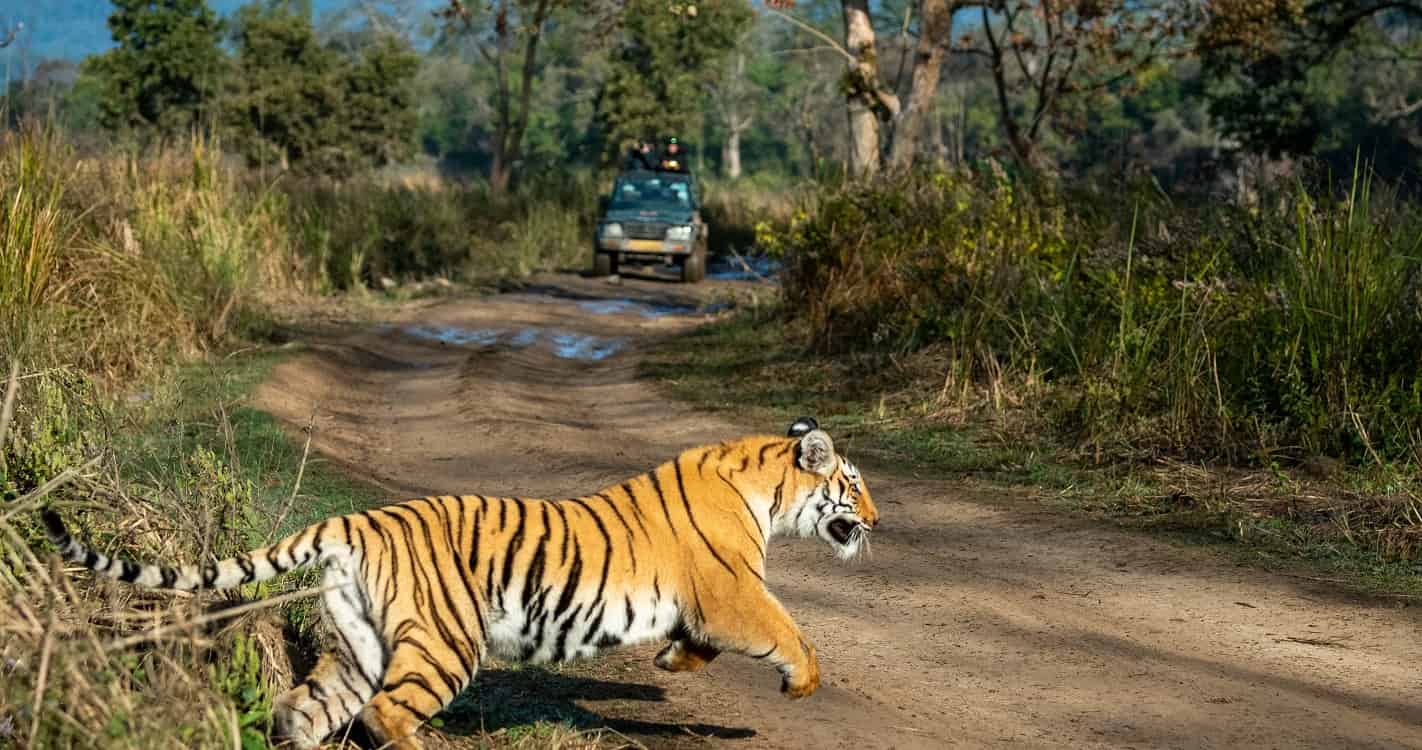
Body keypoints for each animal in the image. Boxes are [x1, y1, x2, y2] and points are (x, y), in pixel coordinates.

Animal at [41, 415, 875, 750]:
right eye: (854, 485)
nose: (876, 519)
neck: (767, 488)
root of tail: (357, 520)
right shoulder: (733, 591)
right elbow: (788, 629)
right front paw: (802, 682)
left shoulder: (706, 604)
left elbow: (700, 644)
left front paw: (673, 661)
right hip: (446, 641)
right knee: (382, 713)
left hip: (360, 644)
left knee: (302, 709)